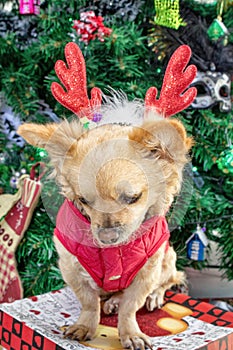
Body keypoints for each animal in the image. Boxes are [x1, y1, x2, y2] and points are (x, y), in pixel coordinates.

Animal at [16, 42, 197, 348]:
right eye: (83, 201)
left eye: (133, 198)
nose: (108, 236)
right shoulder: (70, 266)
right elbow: (89, 302)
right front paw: (84, 326)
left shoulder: (148, 269)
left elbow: (131, 306)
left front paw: (131, 333)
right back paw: (110, 301)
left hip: (168, 257)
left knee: (169, 279)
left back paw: (150, 297)